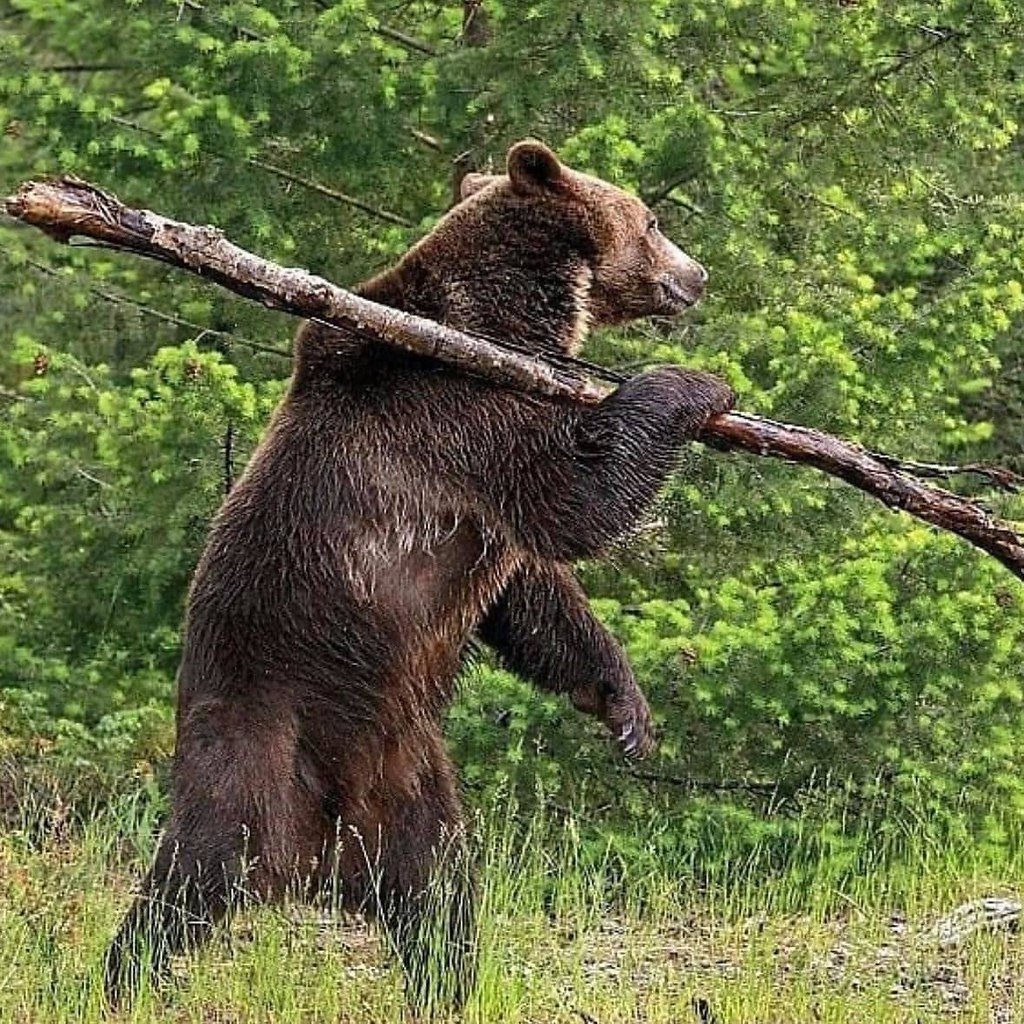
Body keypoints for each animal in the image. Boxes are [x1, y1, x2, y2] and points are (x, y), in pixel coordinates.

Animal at [103, 139, 734, 1011]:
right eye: (651, 220)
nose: (699, 274)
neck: (511, 320)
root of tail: (316, 859)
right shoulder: (462, 408)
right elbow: (576, 499)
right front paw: (697, 384)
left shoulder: (475, 489)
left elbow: (527, 592)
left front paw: (624, 707)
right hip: (252, 742)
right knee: (191, 879)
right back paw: (124, 978)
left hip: (407, 779)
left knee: (439, 898)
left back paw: (446, 985)